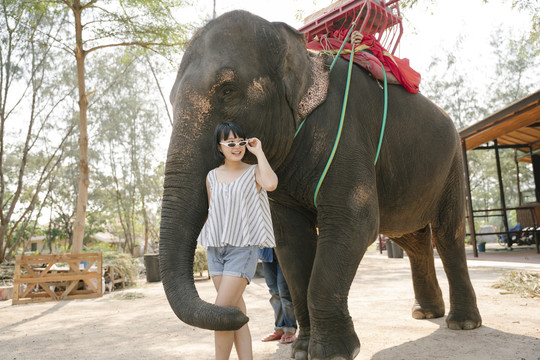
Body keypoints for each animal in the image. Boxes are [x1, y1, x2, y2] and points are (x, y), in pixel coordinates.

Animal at [160, 9, 480, 358]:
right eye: (172, 99)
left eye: (227, 90)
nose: (239, 314)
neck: (298, 48)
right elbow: (290, 239)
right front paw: (302, 350)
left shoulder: (346, 128)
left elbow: (354, 221)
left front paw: (332, 352)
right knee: (412, 238)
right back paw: (425, 313)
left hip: (452, 161)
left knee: (448, 235)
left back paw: (462, 323)